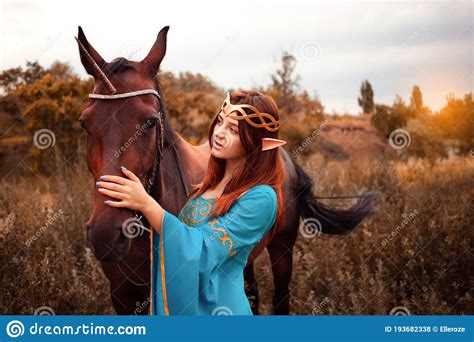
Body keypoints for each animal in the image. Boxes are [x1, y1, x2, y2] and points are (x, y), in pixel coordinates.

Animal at [76, 26, 376, 316]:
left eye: (150, 122)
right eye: (84, 123)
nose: (106, 233)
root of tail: (283, 154)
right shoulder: (123, 296)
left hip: (282, 250)